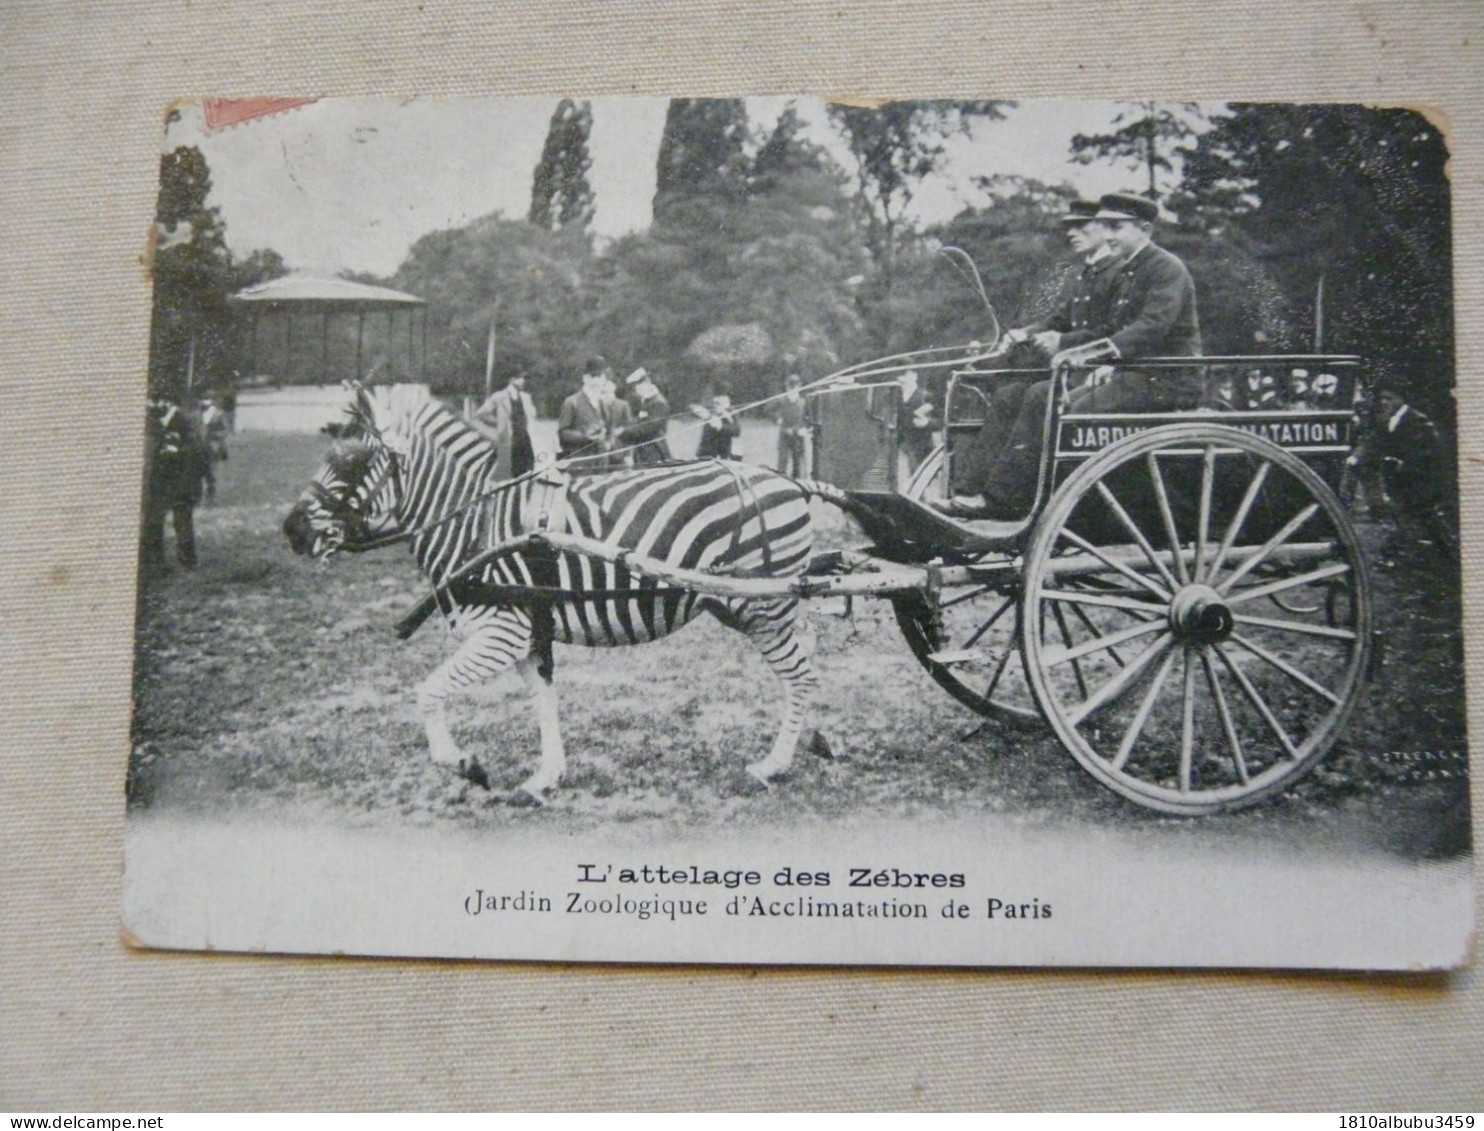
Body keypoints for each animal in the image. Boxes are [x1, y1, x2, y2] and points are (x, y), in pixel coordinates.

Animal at [283, 385, 848, 801]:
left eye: (351, 462)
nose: (291, 532)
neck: (474, 527)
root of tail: (793, 482)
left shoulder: (500, 634)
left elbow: (429, 692)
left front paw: (465, 764)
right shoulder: (529, 636)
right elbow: (543, 703)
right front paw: (544, 779)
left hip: (759, 605)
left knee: (800, 671)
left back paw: (773, 765)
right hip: (757, 604)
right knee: (810, 653)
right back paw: (815, 739)